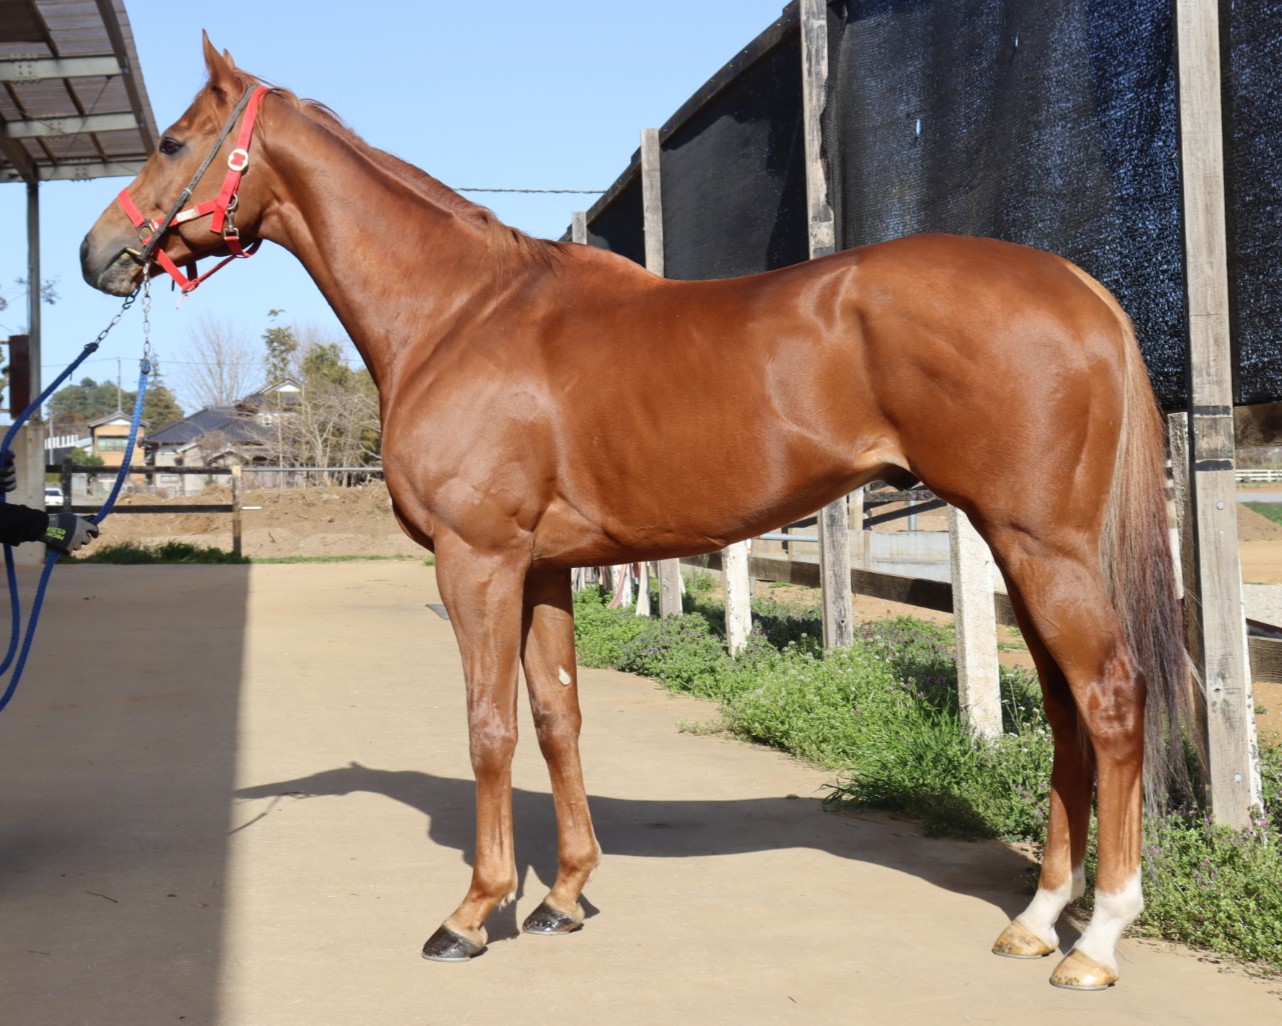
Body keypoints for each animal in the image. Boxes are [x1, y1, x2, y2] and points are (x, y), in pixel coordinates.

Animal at [80, 37, 1197, 991]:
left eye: (173, 141)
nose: (101, 253)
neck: (459, 313)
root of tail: (1082, 288)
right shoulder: (540, 567)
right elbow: (557, 715)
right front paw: (563, 896)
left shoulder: (476, 560)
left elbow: (489, 727)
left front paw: (474, 912)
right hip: (1017, 546)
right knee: (1063, 710)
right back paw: (1036, 918)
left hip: (1042, 546)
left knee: (1108, 700)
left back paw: (1095, 937)